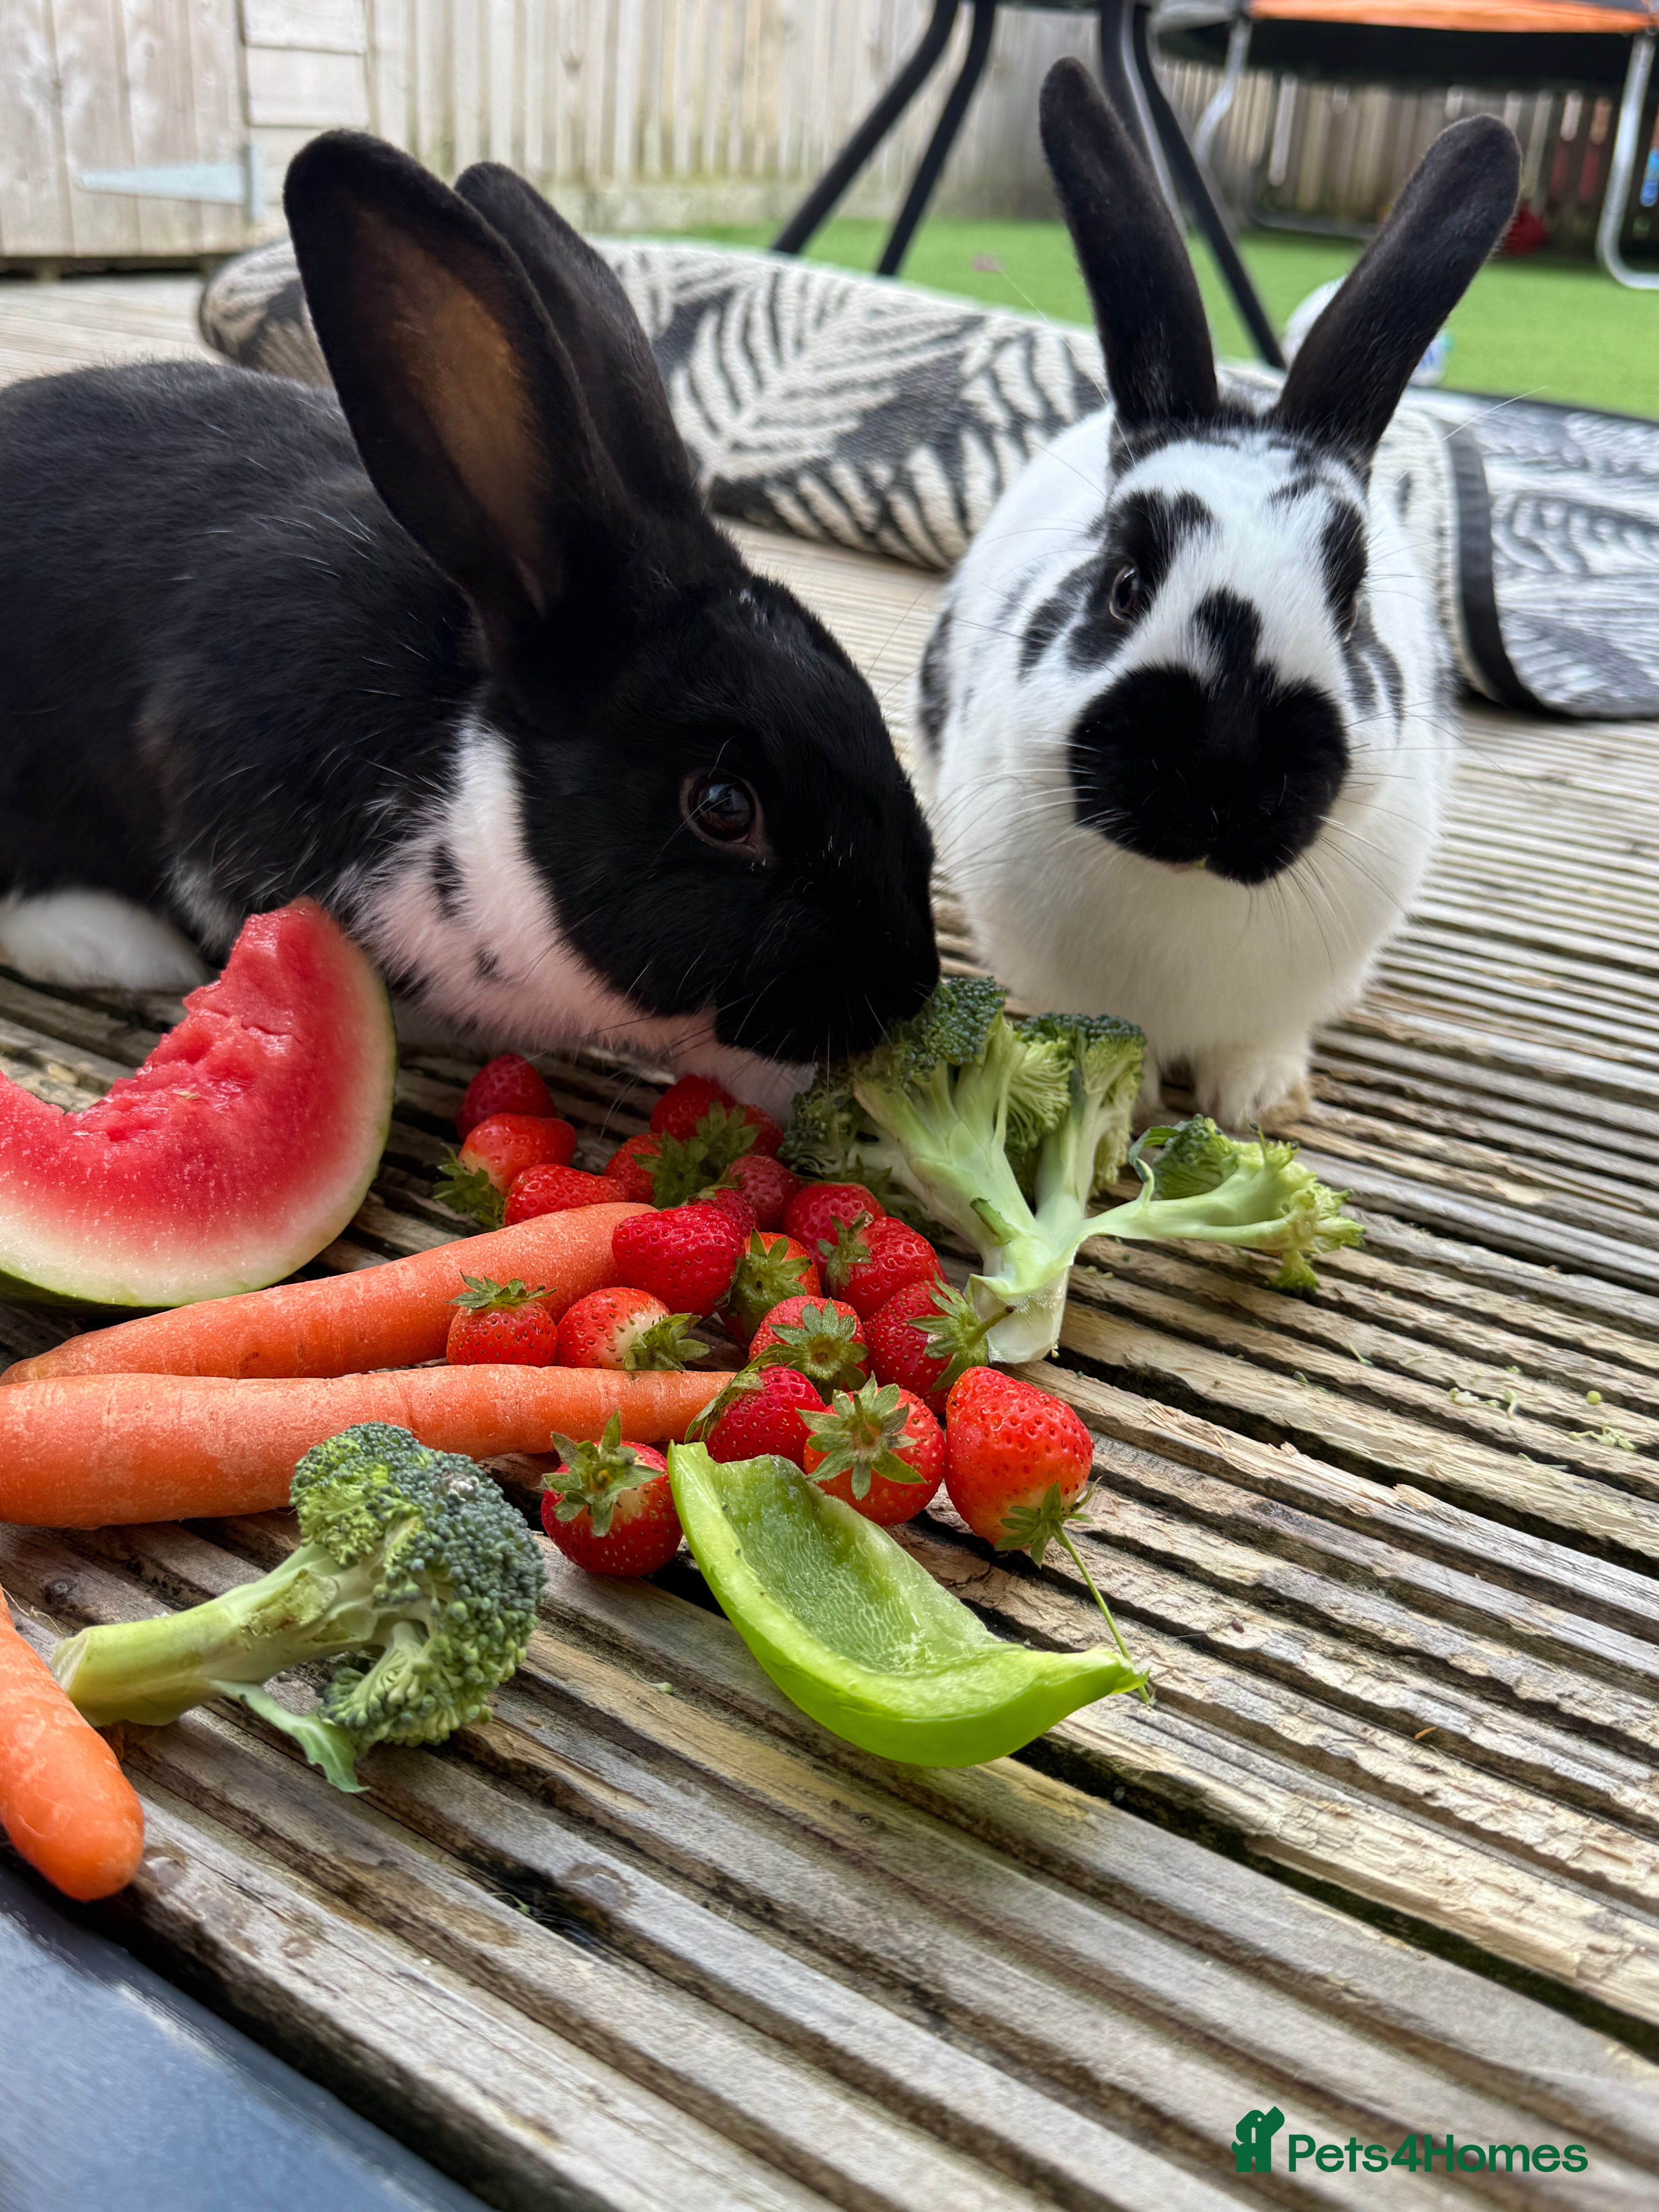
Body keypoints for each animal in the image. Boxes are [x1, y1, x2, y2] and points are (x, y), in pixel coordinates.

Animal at [910, 59, 1519, 1131]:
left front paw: (1257, 1103)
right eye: (1123, 586)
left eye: (1350, 606)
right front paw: (1120, 1101)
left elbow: (1258, 1042)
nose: (1220, 775)